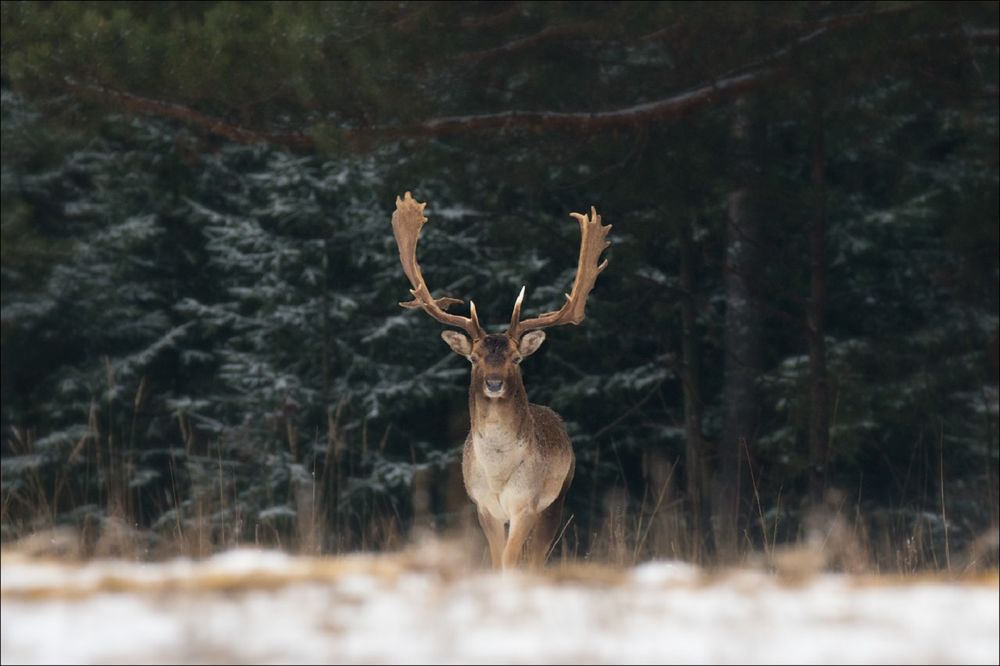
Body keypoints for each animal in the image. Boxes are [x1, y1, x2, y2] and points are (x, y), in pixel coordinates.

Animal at [392, 191, 612, 564]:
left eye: (516, 358)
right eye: (474, 358)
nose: (494, 383)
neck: (496, 473)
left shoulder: (527, 504)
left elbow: (512, 560)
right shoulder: (484, 507)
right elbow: (496, 559)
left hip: (558, 496)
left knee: (538, 557)